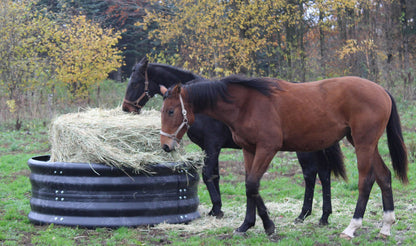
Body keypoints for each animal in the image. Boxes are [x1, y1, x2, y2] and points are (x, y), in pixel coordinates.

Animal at [123, 57, 348, 223]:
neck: (203, 106)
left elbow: (207, 174)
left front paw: (218, 209)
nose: (126, 108)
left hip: (305, 149)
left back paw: (304, 214)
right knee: (324, 175)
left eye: (135, 82)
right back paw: (323, 216)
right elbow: (215, 175)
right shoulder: (209, 148)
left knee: (311, 175)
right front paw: (216, 208)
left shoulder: (212, 145)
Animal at [160, 75, 410, 238]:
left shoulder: (267, 148)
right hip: (366, 144)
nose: (165, 146)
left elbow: (252, 184)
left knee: (366, 181)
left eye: (171, 111)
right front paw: (246, 225)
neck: (246, 104)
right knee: (384, 177)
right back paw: (386, 226)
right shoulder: (249, 150)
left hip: (363, 144)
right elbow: (250, 185)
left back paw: (352, 227)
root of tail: (381, 90)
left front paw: (268, 226)